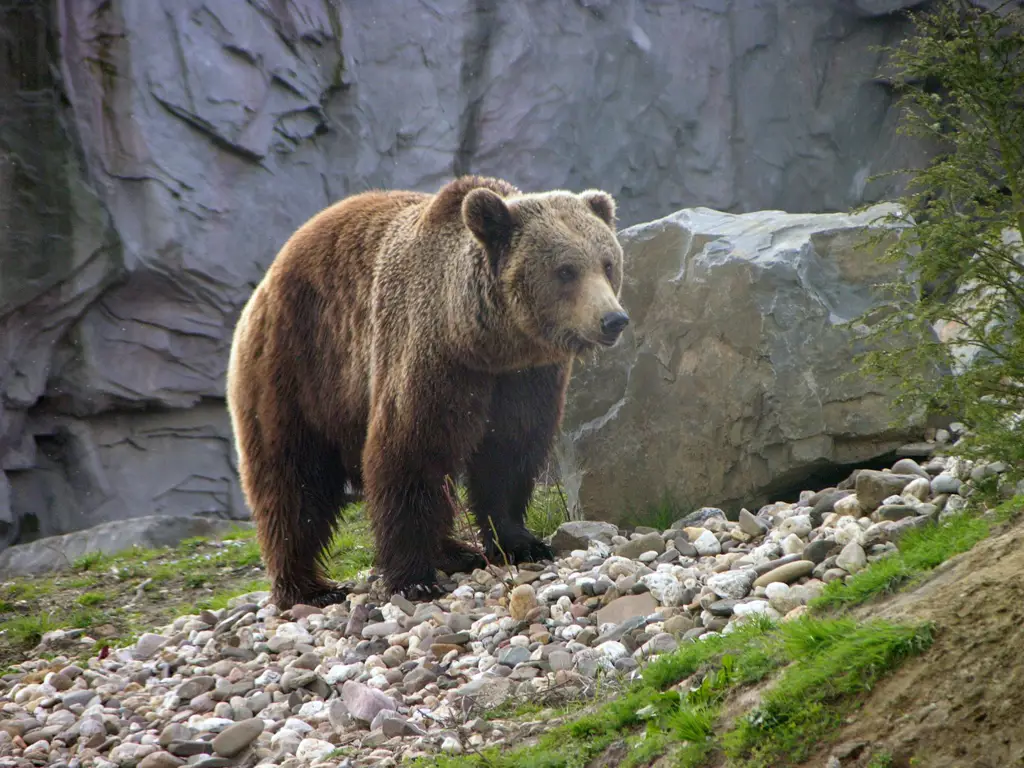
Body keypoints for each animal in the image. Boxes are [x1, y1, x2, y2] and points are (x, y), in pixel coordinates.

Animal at [226, 174, 622, 606]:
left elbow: (509, 452)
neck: (485, 342)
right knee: (293, 480)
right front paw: (414, 578)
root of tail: (265, 283)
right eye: (565, 271)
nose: (613, 319)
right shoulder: (430, 356)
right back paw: (308, 587)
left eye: (607, 263)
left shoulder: (525, 378)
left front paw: (521, 542)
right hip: (298, 370)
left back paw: (456, 550)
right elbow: (410, 452)